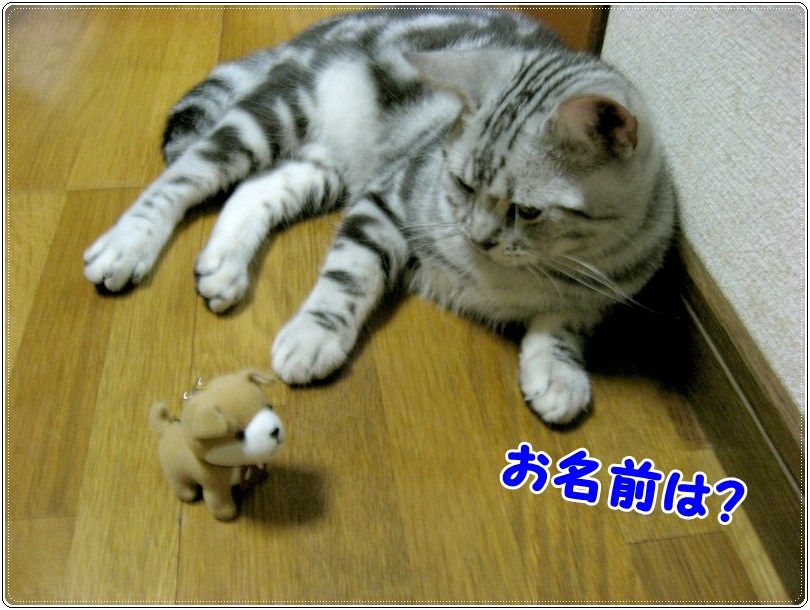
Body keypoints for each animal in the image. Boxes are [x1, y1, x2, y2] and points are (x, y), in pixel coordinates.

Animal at [83, 8, 675, 426]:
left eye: (527, 211)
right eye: (462, 183)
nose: (479, 238)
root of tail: (326, 25)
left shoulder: (604, 291)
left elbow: (563, 324)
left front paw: (557, 372)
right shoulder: (387, 200)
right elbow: (350, 277)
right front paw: (313, 335)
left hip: (328, 168)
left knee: (254, 189)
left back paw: (224, 264)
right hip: (277, 116)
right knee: (185, 176)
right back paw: (128, 244)